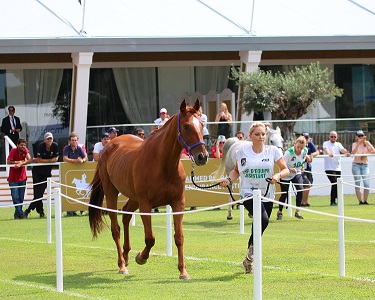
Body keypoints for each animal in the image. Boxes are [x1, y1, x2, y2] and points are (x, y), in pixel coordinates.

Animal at [90, 99, 210, 280]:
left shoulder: (178, 203)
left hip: (133, 198)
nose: (202, 156)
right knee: (116, 228)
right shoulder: (146, 205)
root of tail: (108, 146)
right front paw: (141, 257)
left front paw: (183, 271)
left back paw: (126, 255)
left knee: (126, 216)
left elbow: (179, 237)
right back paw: (122, 264)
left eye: (202, 125)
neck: (162, 163)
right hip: (111, 194)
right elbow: (150, 238)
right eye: (186, 126)